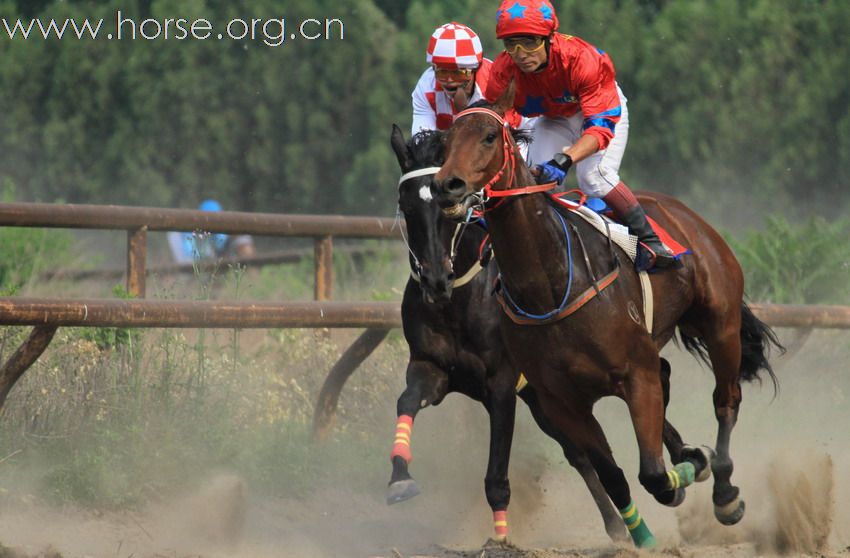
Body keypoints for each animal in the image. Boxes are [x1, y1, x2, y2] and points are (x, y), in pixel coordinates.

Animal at [434, 89, 780, 548]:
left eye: (489, 136)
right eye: (446, 140)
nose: (446, 186)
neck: (550, 285)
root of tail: (683, 214)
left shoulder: (635, 376)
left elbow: (653, 474)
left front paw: (689, 472)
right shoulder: (562, 401)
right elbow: (614, 475)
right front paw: (643, 534)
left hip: (720, 325)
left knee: (726, 401)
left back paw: (723, 491)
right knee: (668, 376)